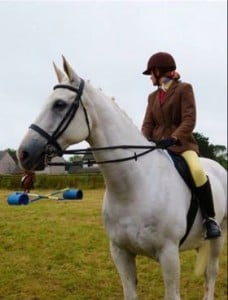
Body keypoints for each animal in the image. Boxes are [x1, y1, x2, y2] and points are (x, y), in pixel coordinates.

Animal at [17, 56, 226, 300]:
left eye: (59, 104)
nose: (23, 154)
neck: (134, 187)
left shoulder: (169, 254)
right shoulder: (120, 252)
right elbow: (129, 292)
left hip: (218, 237)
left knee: (211, 274)